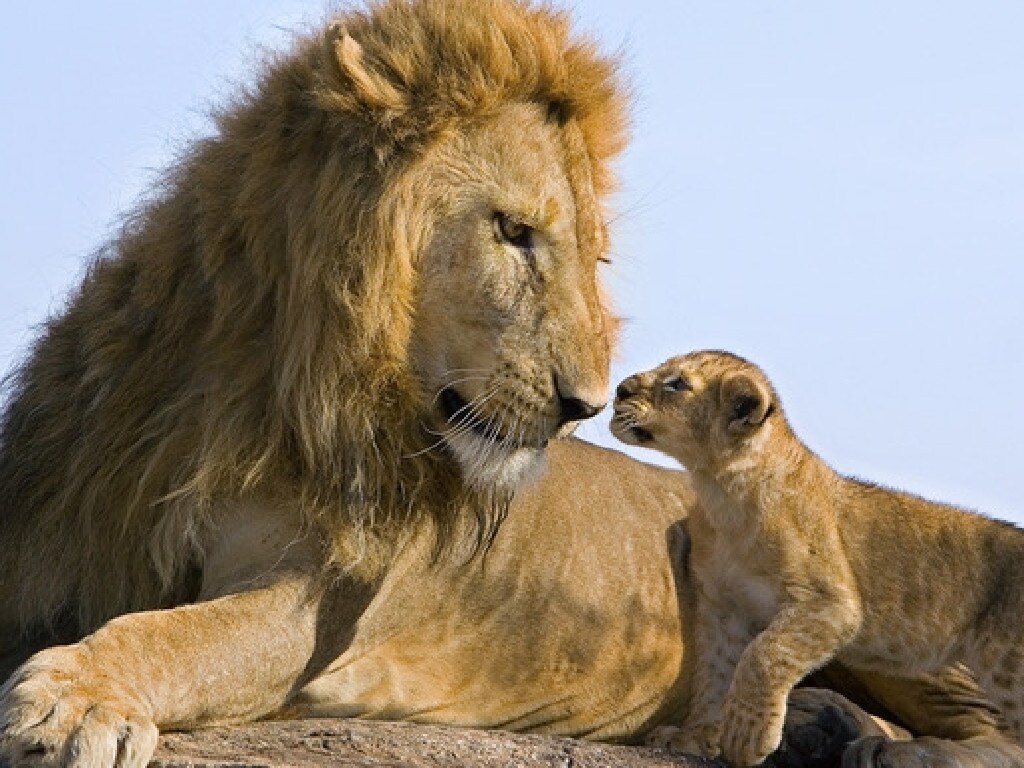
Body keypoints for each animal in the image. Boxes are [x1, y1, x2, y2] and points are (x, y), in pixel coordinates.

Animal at [0, 2, 1020, 767]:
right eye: (514, 232)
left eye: (594, 257)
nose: (586, 405)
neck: (257, 383)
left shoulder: (309, 602)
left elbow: (170, 634)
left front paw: (71, 701)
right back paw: (809, 724)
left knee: (992, 725)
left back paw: (890, 746)